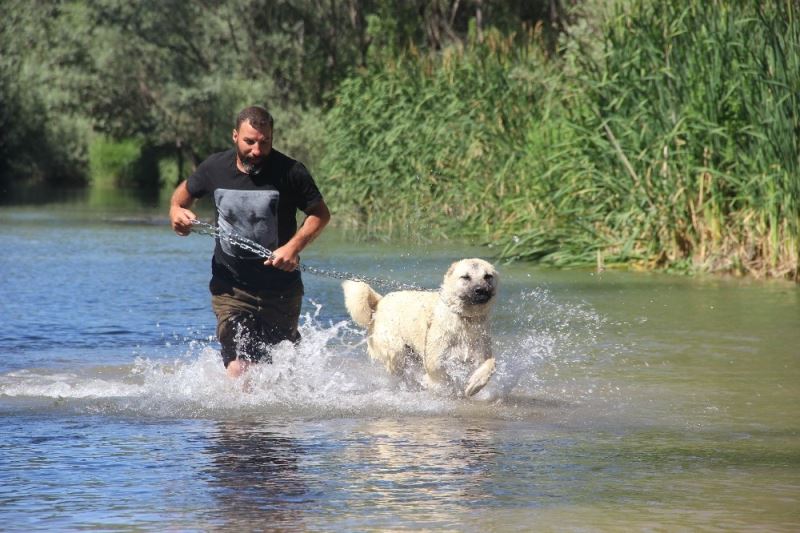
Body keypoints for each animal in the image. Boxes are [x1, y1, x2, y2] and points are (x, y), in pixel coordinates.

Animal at [342, 258, 498, 397]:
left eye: (488, 276)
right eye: (465, 277)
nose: (480, 290)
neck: (466, 319)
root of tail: (380, 302)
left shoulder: (480, 354)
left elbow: (491, 364)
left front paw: (474, 384)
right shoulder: (434, 358)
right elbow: (440, 375)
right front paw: (439, 385)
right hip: (396, 350)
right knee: (400, 371)